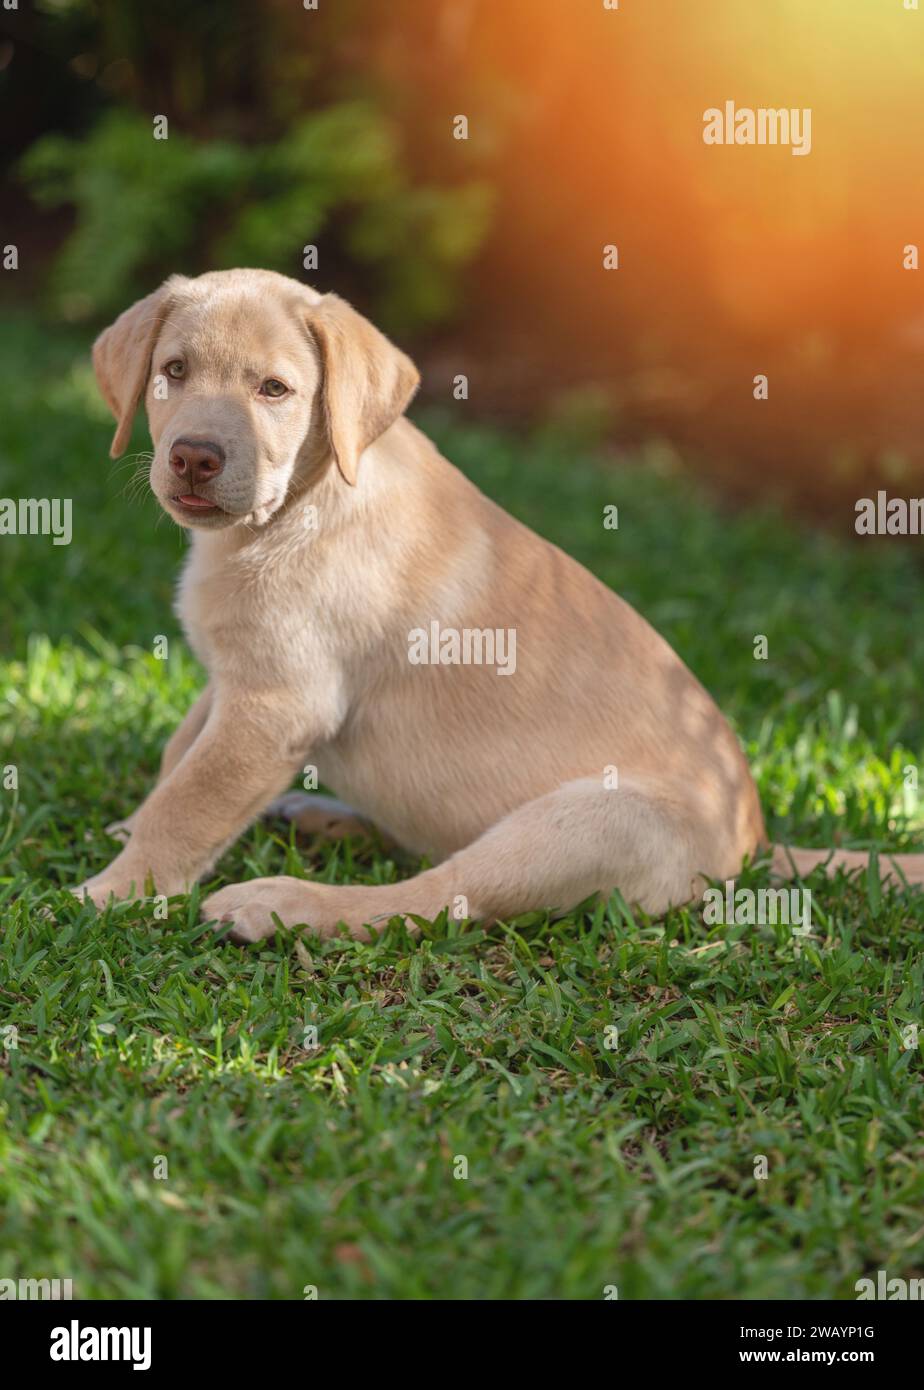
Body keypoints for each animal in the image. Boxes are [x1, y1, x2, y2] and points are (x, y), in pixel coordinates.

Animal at [80, 265, 922, 939]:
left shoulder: (275, 703)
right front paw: (128, 829)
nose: (194, 457)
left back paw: (281, 904)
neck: (301, 503)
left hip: (585, 822)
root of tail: (754, 843)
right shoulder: (232, 681)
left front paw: (117, 889)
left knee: (438, 895)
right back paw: (324, 819)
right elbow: (178, 756)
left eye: (274, 390)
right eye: (173, 370)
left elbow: (191, 802)